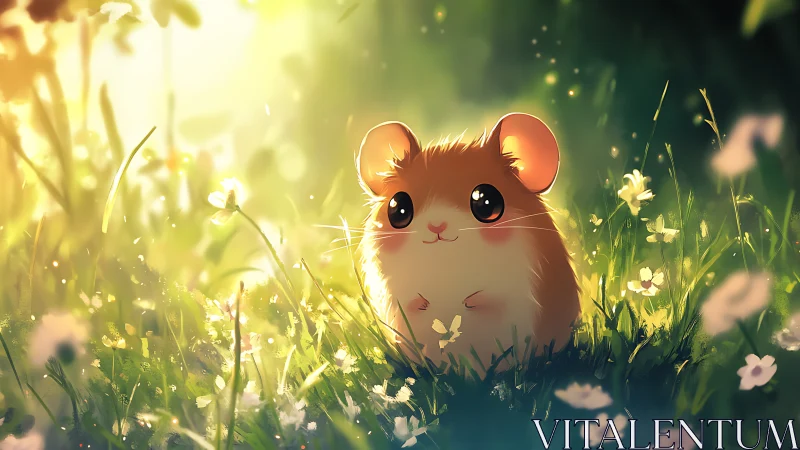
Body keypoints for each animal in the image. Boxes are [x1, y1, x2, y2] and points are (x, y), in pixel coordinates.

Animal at [355, 112, 581, 371]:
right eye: (398, 208)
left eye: (486, 203)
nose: (437, 225)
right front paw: (425, 304)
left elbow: (495, 299)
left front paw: (470, 302)